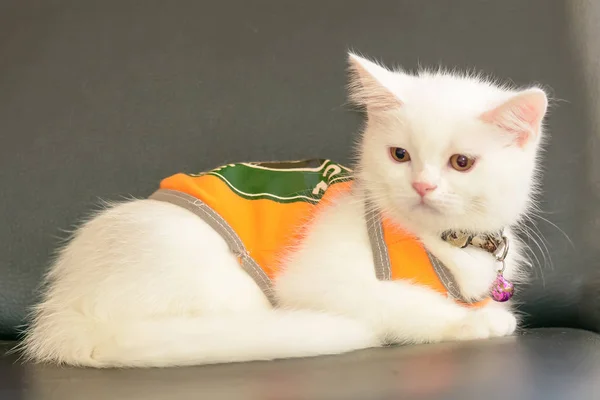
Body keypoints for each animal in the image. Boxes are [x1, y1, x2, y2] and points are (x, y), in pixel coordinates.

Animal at [21, 54, 548, 368]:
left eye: (462, 163)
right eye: (400, 155)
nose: (422, 185)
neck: (445, 240)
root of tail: (63, 314)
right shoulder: (317, 281)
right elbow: (403, 301)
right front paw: (476, 321)